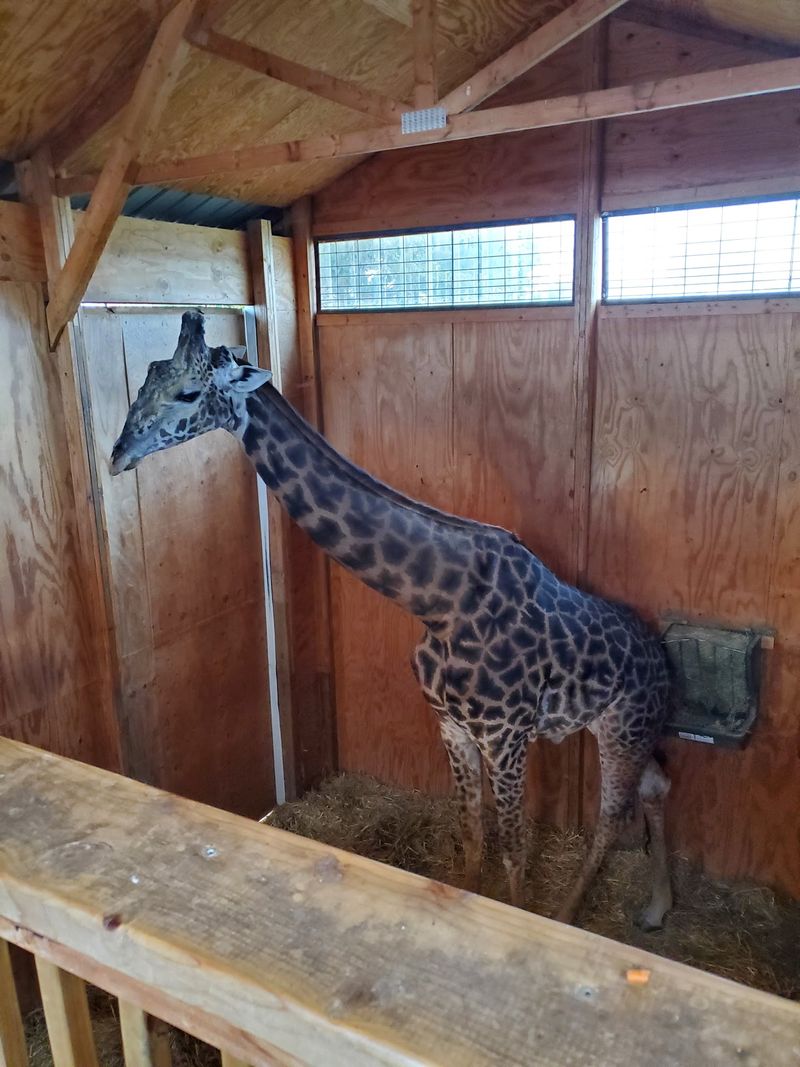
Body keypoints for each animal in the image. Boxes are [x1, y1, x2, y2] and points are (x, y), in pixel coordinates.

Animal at [111, 309, 673, 929]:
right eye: (145, 378)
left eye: (188, 393)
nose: (117, 454)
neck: (440, 603)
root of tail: (664, 660)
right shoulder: (451, 726)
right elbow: (471, 835)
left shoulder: (506, 737)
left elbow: (513, 849)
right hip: (614, 726)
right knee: (658, 783)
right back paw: (656, 907)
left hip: (624, 724)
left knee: (612, 818)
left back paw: (573, 913)